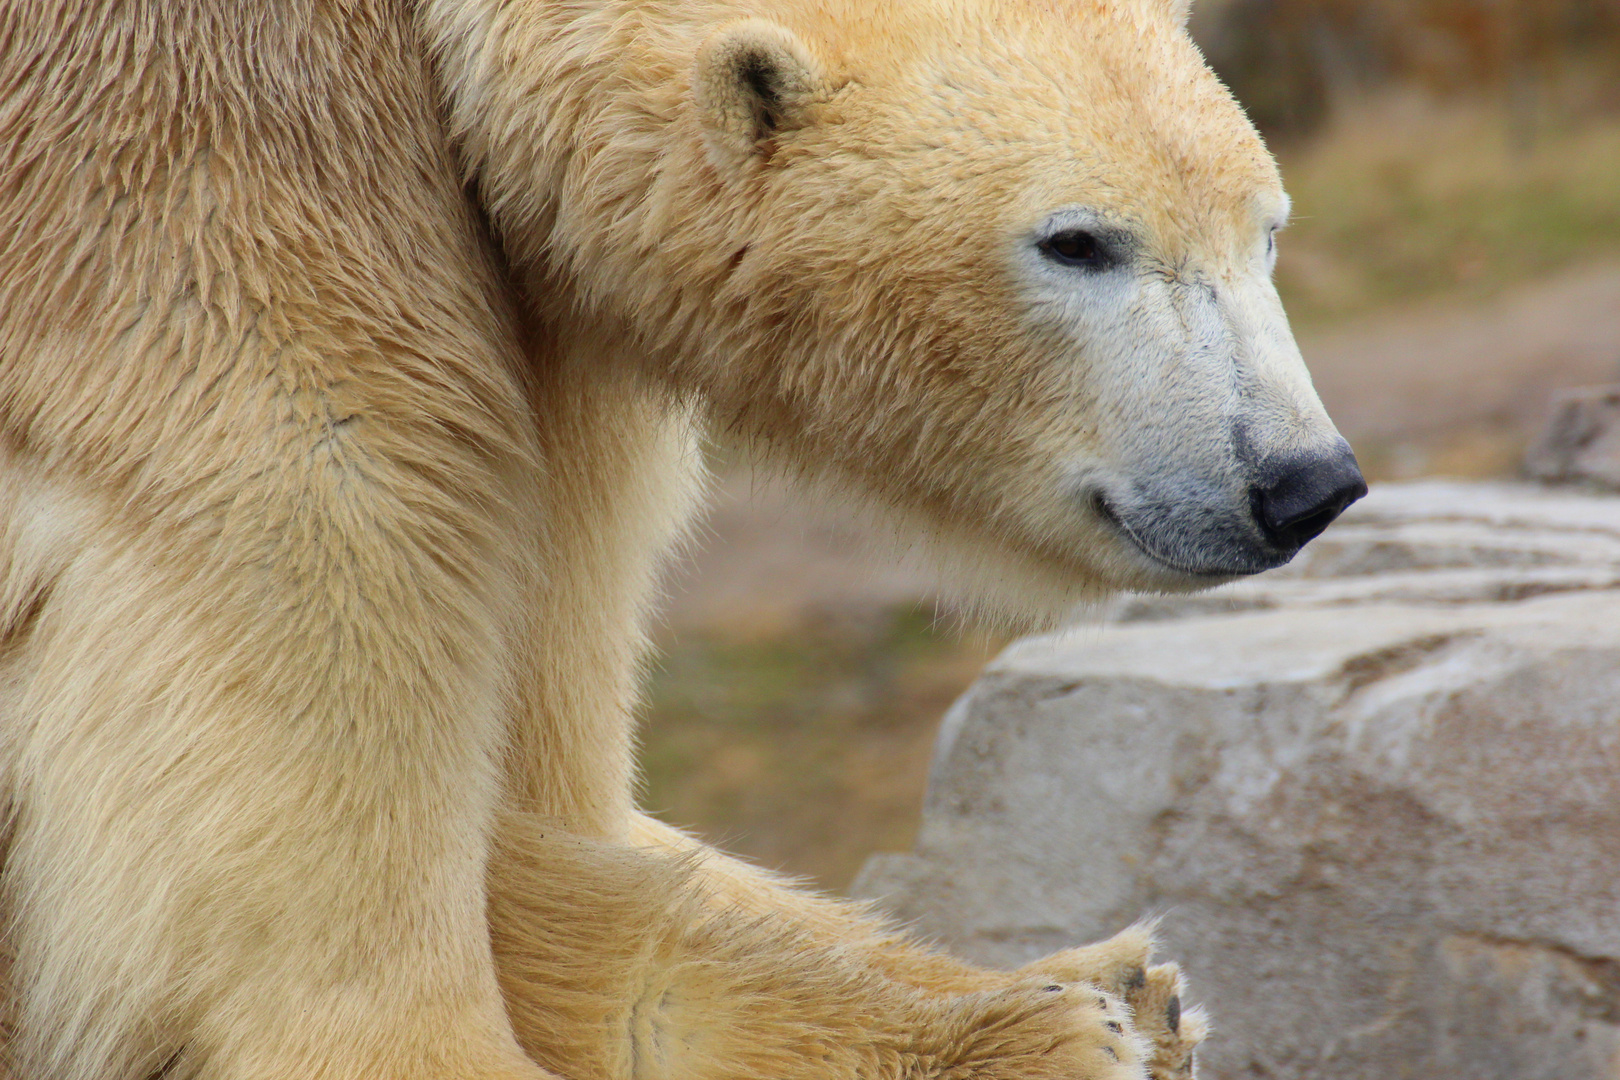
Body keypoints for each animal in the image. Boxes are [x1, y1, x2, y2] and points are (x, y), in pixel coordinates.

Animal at [0, 0, 1367, 1075]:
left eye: (1270, 224)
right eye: (1077, 241)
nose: (1302, 483)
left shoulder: (543, 330)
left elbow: (560, 784)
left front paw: (1114, 995)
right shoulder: (192, 189)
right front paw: (1049, 1033)